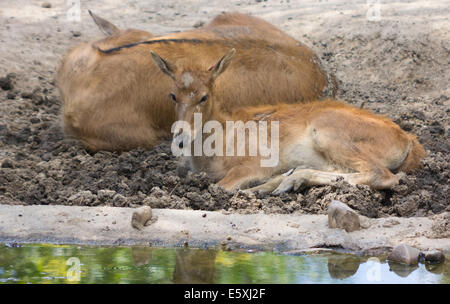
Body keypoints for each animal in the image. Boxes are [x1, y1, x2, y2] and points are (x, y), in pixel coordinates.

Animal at [150, 49, 426, 194]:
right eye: (173, 95)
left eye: (204, 96)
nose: (181, 139)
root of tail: (409, 141)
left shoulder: (255, 163)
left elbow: (221, 186)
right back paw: (284, 181)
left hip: (327, 132)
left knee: (382, 175)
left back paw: (285, 181)